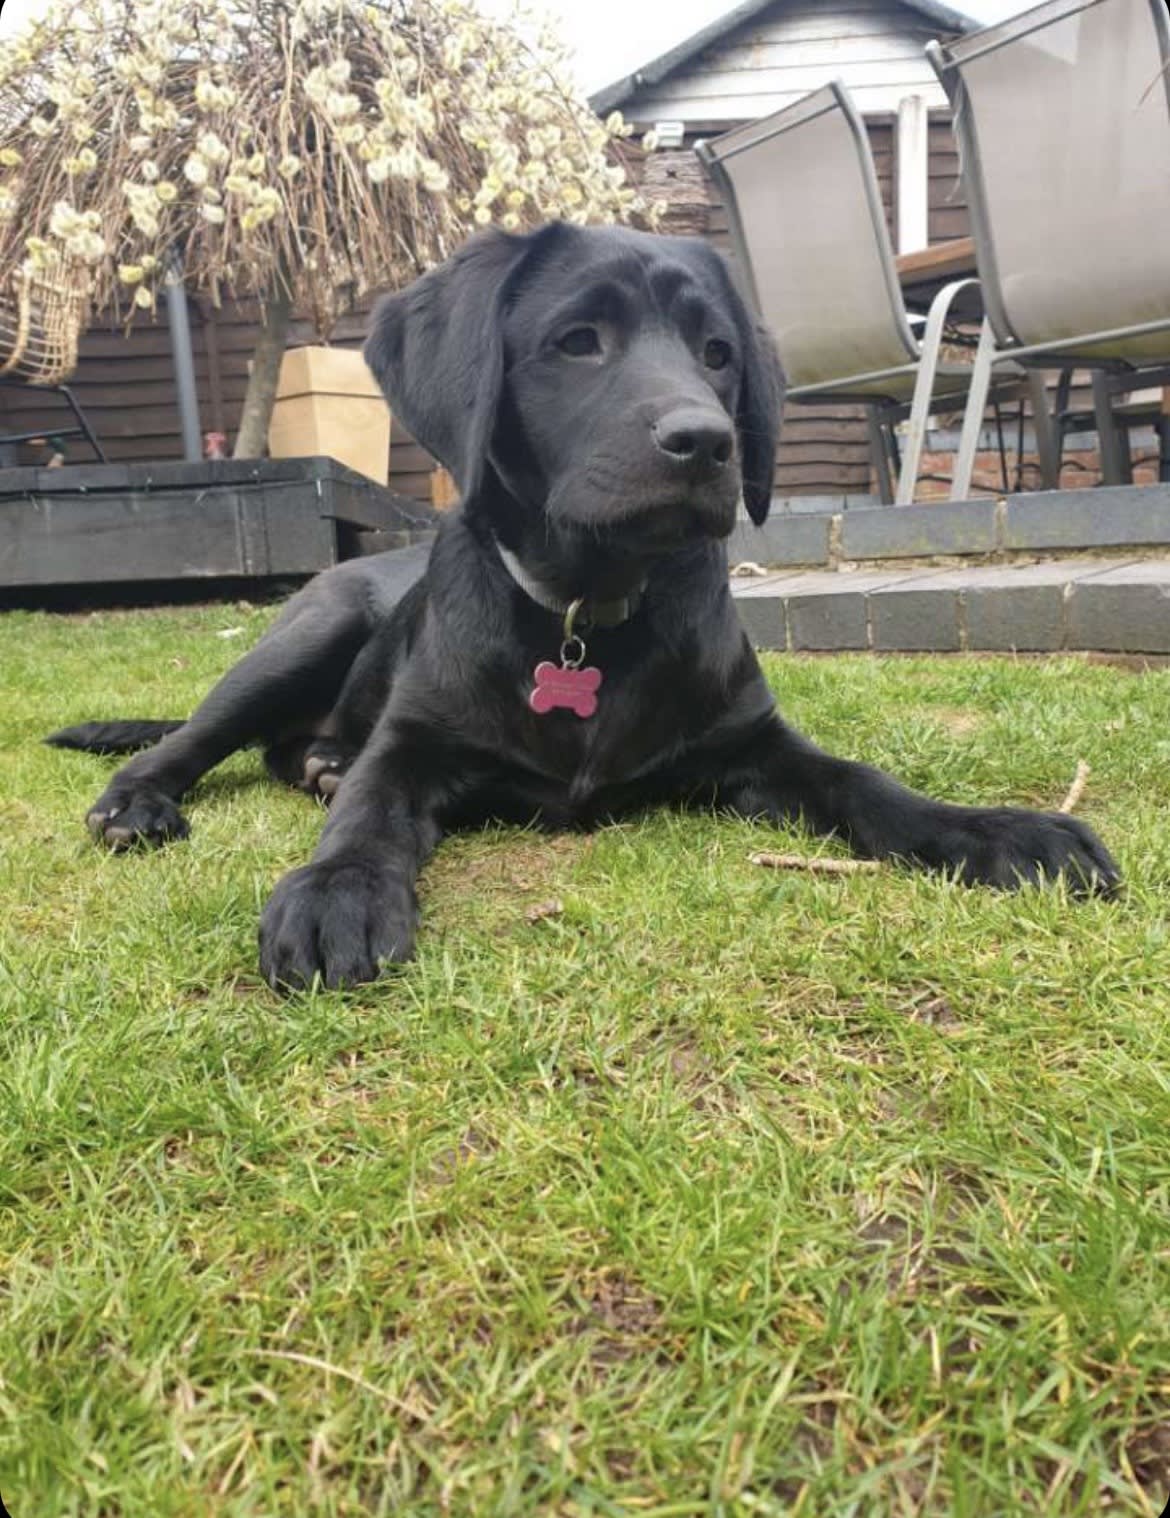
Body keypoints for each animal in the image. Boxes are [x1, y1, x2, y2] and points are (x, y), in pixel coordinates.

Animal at [45, 220, 1122, 989]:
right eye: (577, 342)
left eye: (718, 352)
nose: (706, 441)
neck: (584, 609)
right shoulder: (413, 743)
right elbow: (369, 811)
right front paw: (335, 889)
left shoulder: (754, 743)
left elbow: (867, 781)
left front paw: (995, 831)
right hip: (310, 631)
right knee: (198, 737)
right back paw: (146, 801)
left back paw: (316, 762)